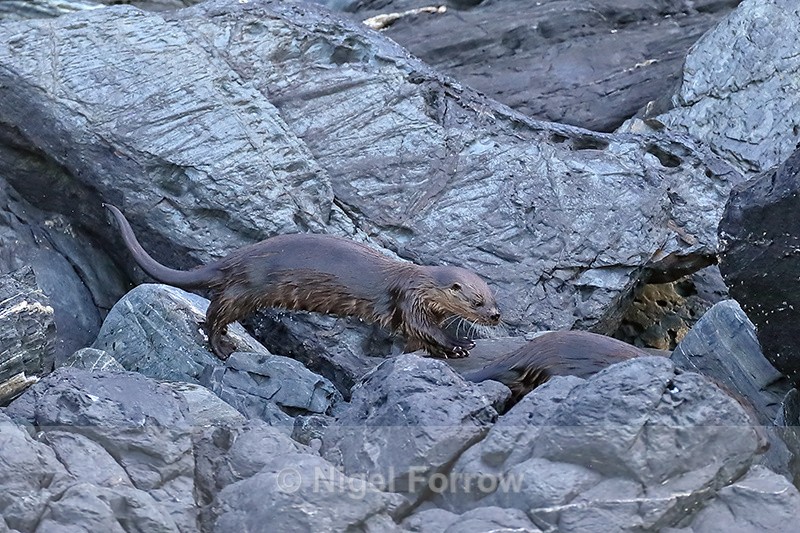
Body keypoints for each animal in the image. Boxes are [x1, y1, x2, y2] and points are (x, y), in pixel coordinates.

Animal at [103, 204, 500, 360]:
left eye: (494, 297)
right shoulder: (410, 301)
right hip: (245, 288)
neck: (420, 283)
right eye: (476, 301)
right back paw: (220, 346)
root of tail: (234, 258)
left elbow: (418, 340)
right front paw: (460, 344)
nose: (496, 316)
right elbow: (425, 330)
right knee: (214, 312)